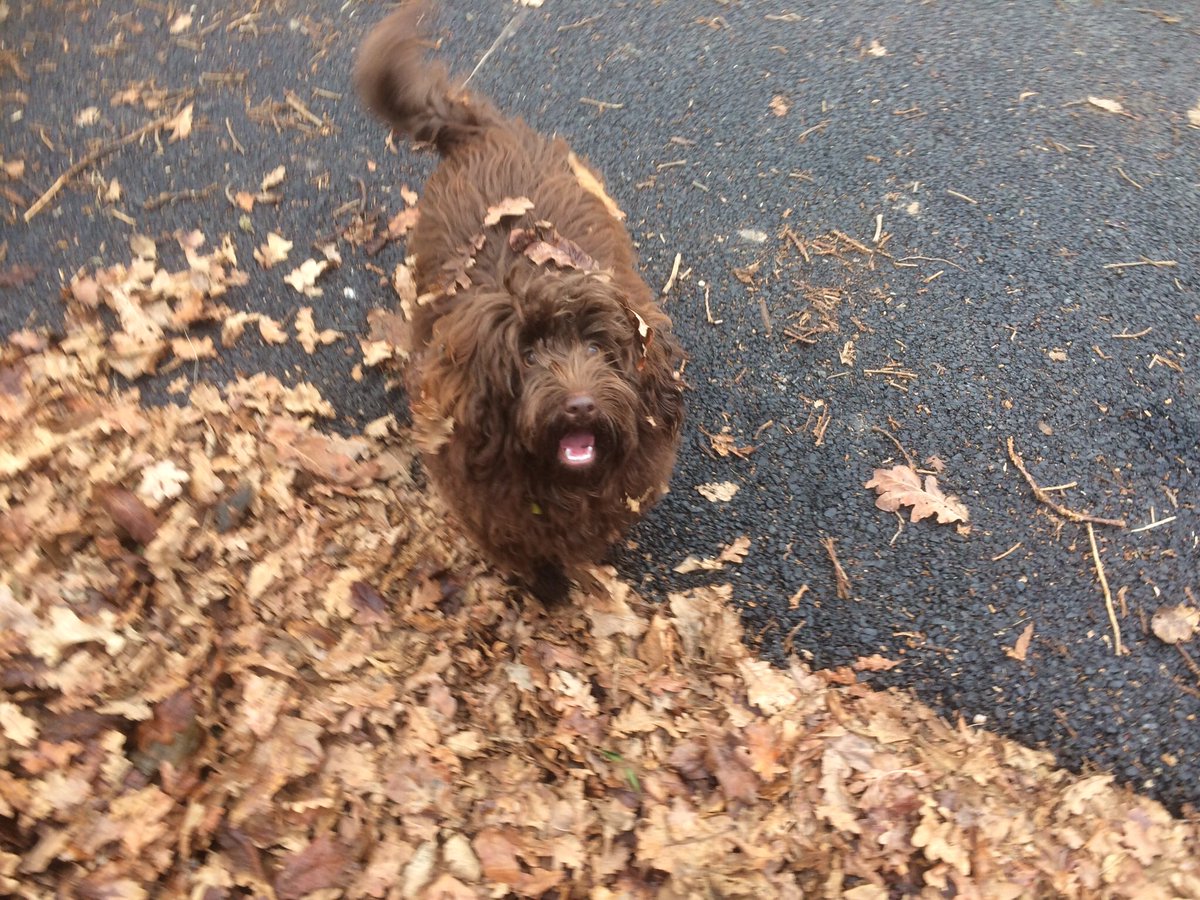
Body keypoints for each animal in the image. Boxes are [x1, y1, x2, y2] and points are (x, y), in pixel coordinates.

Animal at [355, 3, 684, 602]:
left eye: (598, 350)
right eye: (527, 358)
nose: (581, 407)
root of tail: (478, 131)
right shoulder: (488, 507)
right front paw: (548, 592)